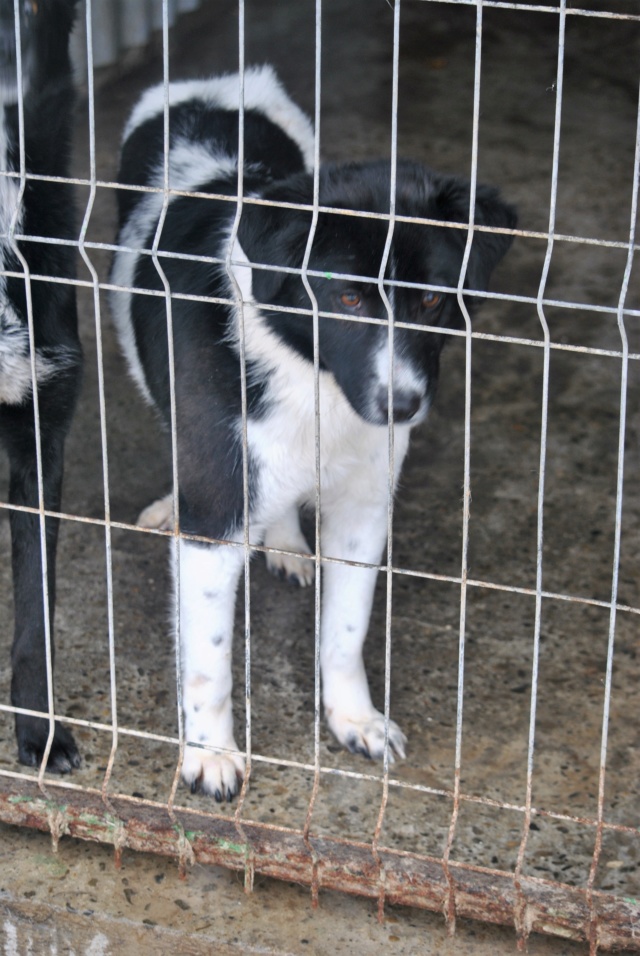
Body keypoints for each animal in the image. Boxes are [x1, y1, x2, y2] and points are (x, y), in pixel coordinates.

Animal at [111, 65, 516, 800]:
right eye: (347, 297)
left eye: (434, 298)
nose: (402, 406)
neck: (309, 374)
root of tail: (217, 82)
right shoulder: (215, 521)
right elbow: (209, 661)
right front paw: (210, 754)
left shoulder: (364, 508)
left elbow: (346, 633)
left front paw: (354, 719)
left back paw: (286, 540)